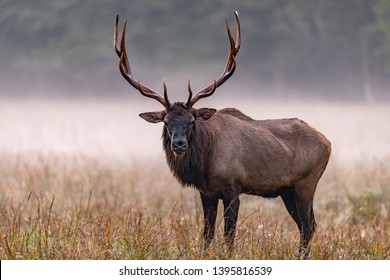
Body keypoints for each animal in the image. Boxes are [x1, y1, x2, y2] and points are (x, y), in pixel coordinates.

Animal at [114, 13, 330, 258]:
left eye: (192, 121)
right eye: (167, 122)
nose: (179, 144)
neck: (205, 164)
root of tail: (328, 142)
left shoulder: (233, 187)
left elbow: (229, 234)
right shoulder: (206, 192)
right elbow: (207, 232)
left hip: (307, 182)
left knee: (308, 224)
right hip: (287, 190)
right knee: (306, 224)